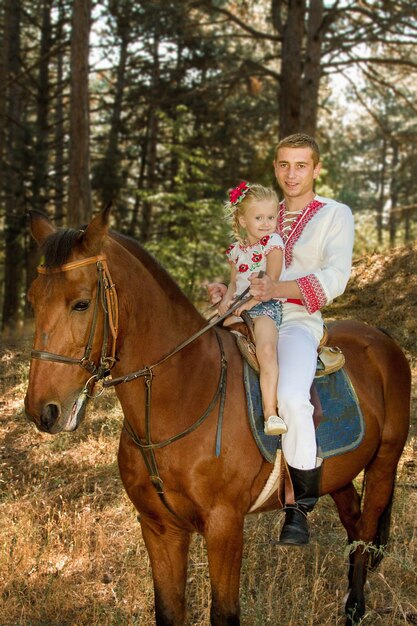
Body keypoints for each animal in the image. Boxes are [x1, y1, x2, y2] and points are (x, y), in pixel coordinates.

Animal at [25, 208, 410, 624]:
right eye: (32, 300)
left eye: (81, 304)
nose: (41, 410)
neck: (184, 394)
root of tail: (381, 338)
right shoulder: (159, 528)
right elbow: (168, 610)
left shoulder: (224, 526)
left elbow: (224, 613)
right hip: (338, 474)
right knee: (353, 520)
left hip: (385, 462)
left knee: (366, 530)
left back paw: (354, 607)